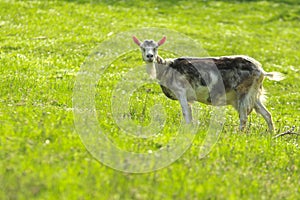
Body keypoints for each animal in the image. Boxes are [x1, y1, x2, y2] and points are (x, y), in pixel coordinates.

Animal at [133, 35, 284, 132]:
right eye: (142, 47)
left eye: (156, 47)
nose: (150, 56)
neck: (167, 67)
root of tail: (261, 70)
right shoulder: (189, 98)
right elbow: (190, 115)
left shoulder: (181, 92)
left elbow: (185, 114)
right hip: (254, 96)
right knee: (267, 114)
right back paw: (271, 135)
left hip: (244, 94)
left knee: (244, 117)